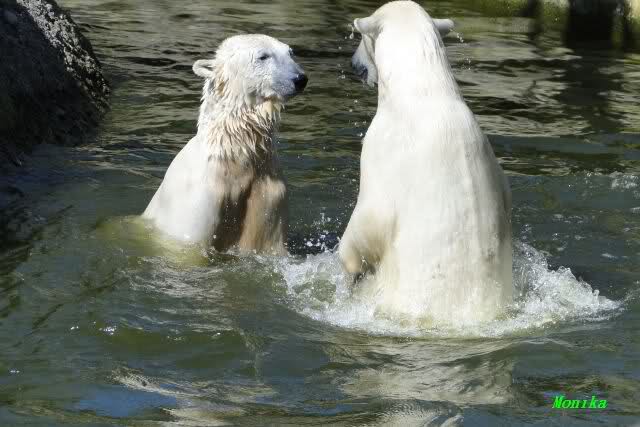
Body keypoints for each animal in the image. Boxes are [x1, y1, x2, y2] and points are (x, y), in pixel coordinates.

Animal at [142, 34, 307, 254]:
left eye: (290, 52)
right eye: (263, 56)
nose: (300, 79)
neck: (233, 154)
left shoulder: (269, 192)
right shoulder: (199, 197)